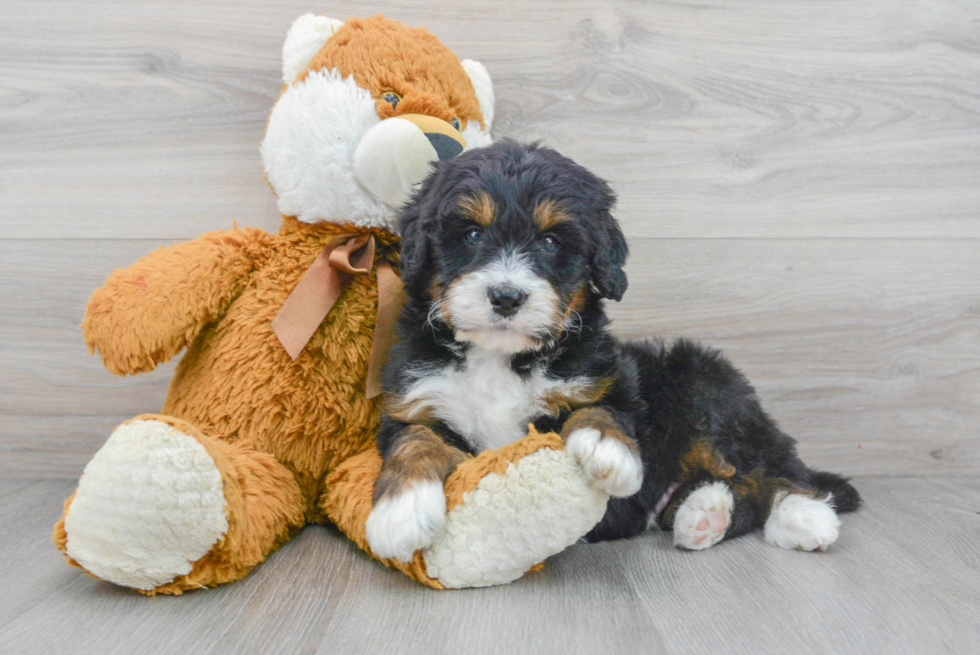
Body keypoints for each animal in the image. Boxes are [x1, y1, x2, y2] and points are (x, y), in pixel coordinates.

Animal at [366, 141, 856, 560]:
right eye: (470, 234)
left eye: (550, 242)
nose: (506, 297)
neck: (500, 356)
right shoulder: (416, 401)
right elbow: (413, 440)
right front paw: (400, 512)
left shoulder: (605, 379)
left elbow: (601, 409)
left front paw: (607, 449)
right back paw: (704, 514)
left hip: (701, 380)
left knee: (771, 467)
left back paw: (803, 515)